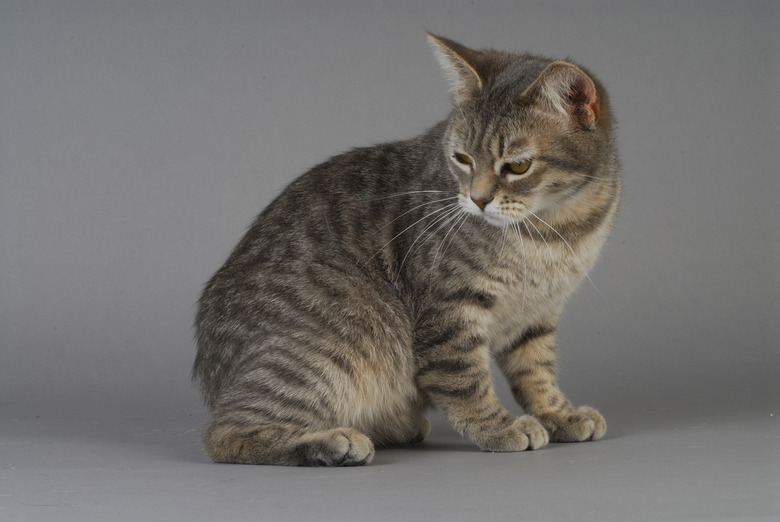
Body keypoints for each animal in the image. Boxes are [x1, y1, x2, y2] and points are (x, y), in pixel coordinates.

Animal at [193, 33, 620, 464]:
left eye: (517, 166)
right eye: (462, 159)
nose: (477, 200)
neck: (554, 230)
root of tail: (211, 378)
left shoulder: (539, 314)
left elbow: (536, 371)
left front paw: (558, 413)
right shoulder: (448, 310)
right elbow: (465, 381)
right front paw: (497, 427)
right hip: (330, 347)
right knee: (227, 434)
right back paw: (332, 442)